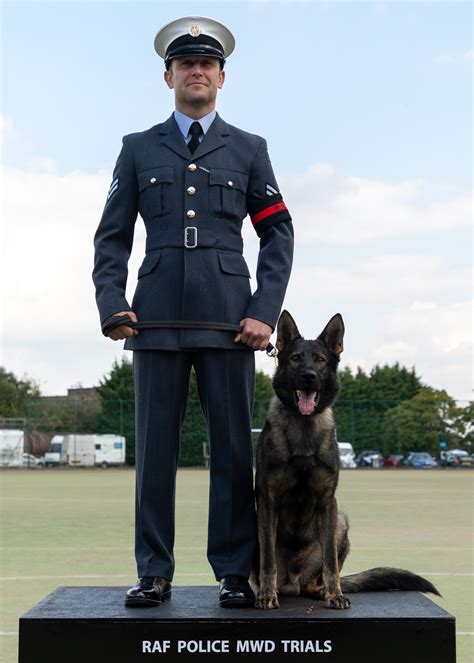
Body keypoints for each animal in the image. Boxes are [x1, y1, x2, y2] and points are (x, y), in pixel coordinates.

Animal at [256, 314, 440, 608]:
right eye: (295, 358)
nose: (308, 376)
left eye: (319, 359)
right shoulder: (268, 501)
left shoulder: (327, 502)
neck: (304, 429)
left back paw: (322, 590)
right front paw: (266, 595)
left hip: (340, 522)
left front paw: (335, 594)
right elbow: (268, 561)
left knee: (317, 577)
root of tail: (293, 581)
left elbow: (331, 561)